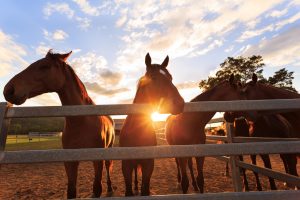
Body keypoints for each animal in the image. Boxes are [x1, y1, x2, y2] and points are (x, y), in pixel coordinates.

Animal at [2, 50, 115, 198]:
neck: (82, 122)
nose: (8, 90)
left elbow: (97, 188)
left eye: (44, 66)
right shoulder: (70, 161)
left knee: (108, 168)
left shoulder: (97, 160)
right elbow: (71, 191)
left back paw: (110, 188)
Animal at [119, 52, 185, 196]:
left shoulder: (149, 164)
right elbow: (128, 190)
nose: (179, 103)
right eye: (154, 77)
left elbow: (145, 189)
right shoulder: (126, 164)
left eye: (171, 77)